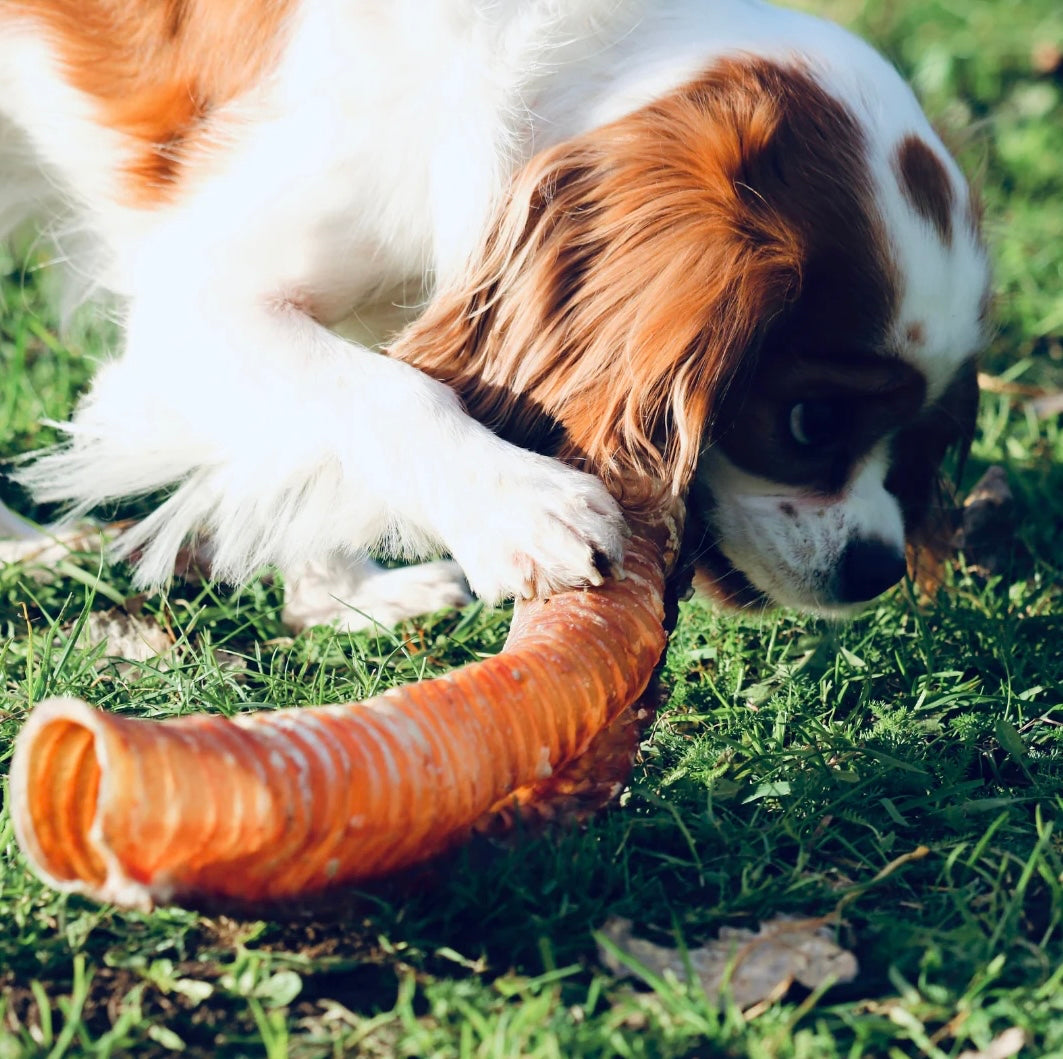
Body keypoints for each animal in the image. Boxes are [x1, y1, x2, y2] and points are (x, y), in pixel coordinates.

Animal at [0, 0, 986, 625]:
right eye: (808, 419)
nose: (877, 568)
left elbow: (299, 449)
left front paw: (340, 596)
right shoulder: (197, 304)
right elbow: (377, 394)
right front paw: (519, 509)